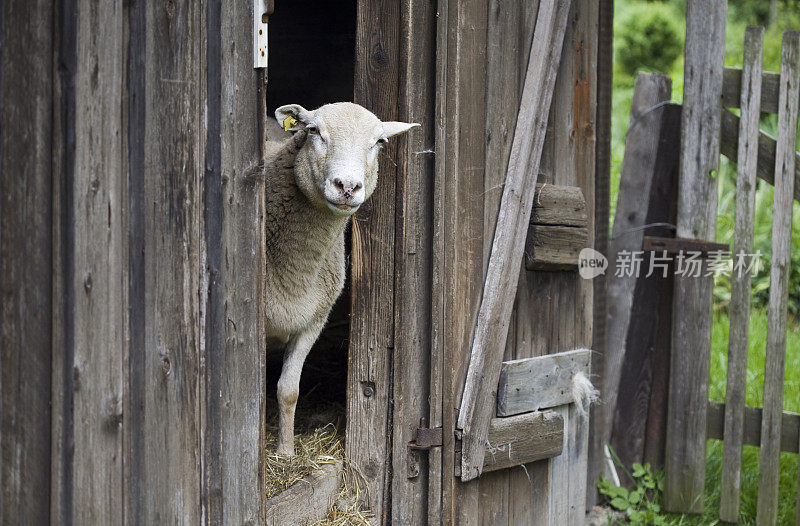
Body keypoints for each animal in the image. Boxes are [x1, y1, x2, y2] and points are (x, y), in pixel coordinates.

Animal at [262, 103, 422, 458]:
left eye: (379, 142)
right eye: (313, 131)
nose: (347, 187)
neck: (297, 270)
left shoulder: (314, 321)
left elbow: (288, 390)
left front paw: (286, 452)